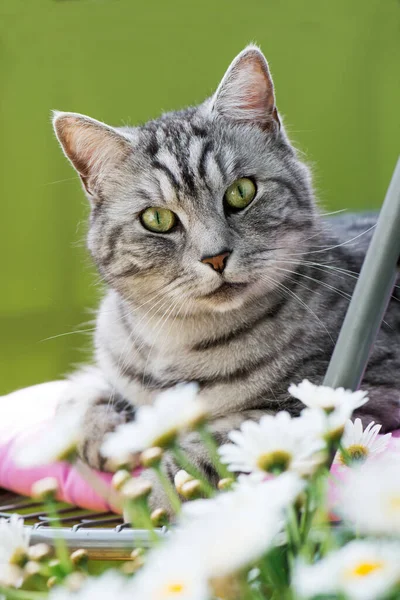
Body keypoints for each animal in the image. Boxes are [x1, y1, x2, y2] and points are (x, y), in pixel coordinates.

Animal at [54, 44, 400, 508]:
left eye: (241, 192)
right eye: (157, 219)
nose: (215, 257)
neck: (181, 341)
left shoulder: (362, 392)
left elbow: (221, 441)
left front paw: (164, 496)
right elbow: (82, 391)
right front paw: (103, 431)